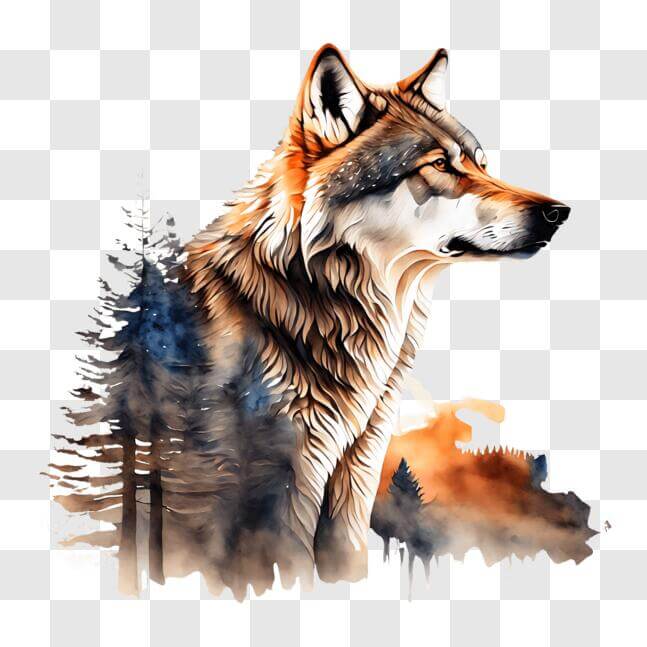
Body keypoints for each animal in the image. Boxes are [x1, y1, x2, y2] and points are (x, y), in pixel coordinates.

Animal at [184, 44, 569, 587]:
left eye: (481, 165)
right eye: (440, 164)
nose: (558, 213)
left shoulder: (357, 463)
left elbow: (346, 556)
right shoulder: (286, 480)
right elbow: (288, 564)